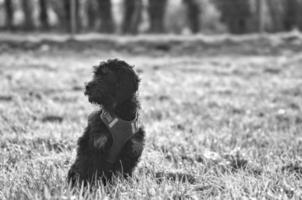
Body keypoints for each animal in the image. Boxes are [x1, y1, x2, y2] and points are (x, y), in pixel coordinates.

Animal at [67, 58, 145, 187]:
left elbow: (122, 174)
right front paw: (94, 188)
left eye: (106, 75)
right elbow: (94, 173)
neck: (119, 114)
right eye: (95, 74)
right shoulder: (97, 147)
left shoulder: (132, 148)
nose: (87, 86)